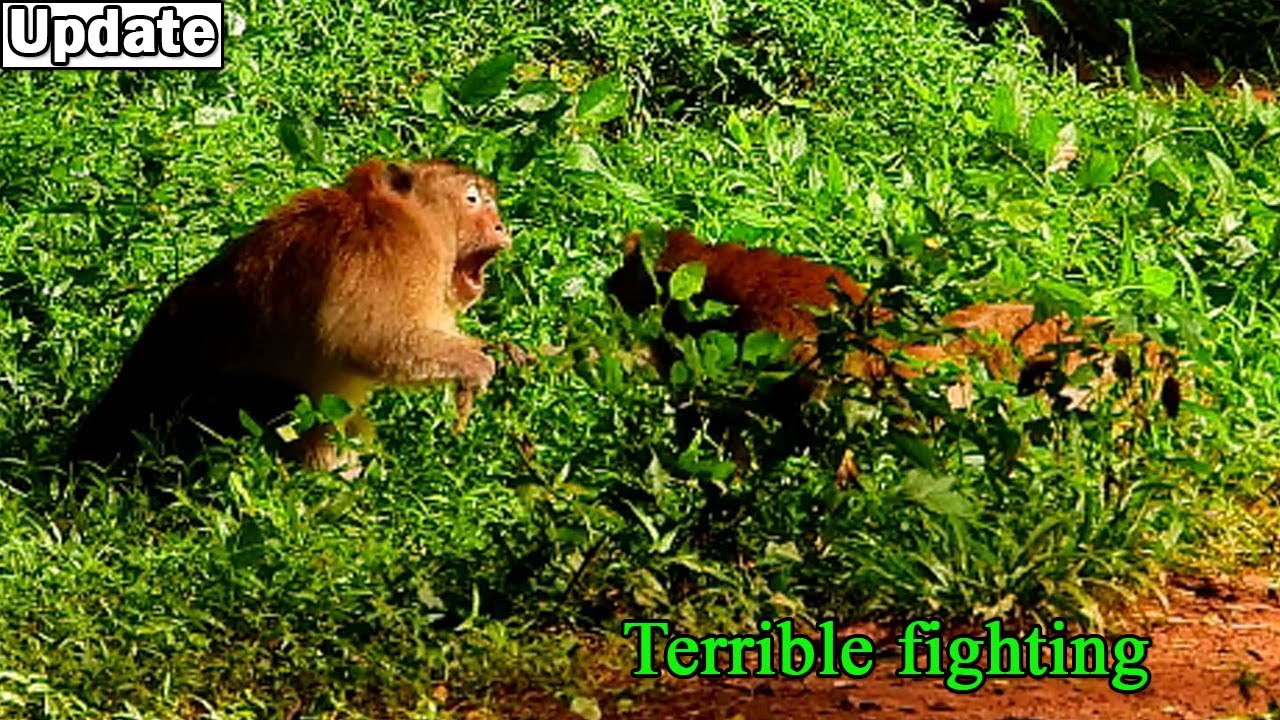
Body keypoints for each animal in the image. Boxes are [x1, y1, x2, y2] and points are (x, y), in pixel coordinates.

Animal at [68, 158, 511, 475]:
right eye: (473, 199)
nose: (501, 226)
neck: (408, 216)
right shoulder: (390, 251)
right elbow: (366, 338)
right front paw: (475, 363)